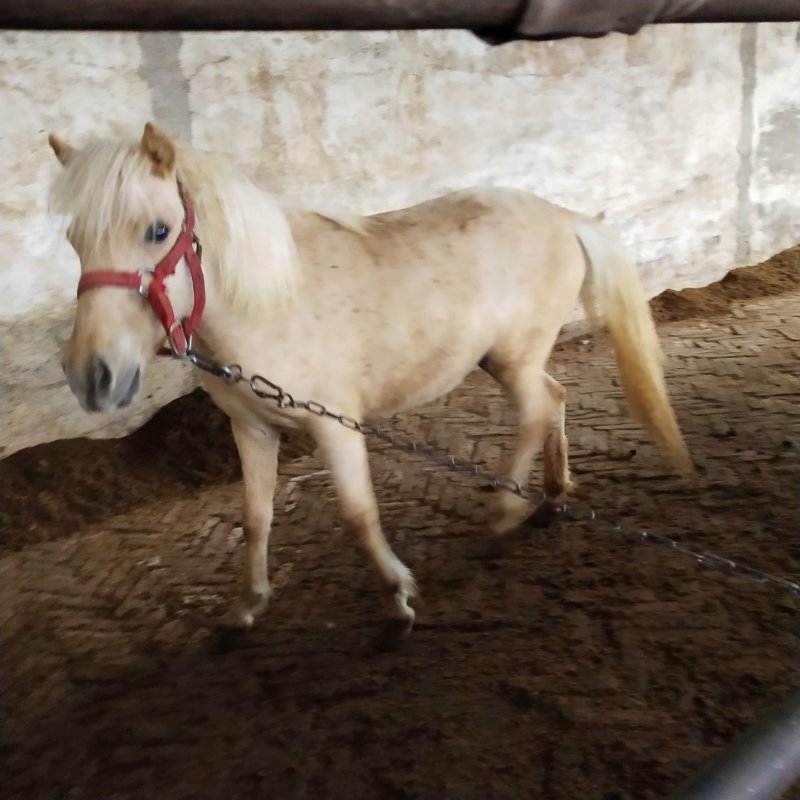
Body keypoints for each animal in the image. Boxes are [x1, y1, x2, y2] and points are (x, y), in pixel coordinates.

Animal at [48, 122, 692, 634]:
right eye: (74, 241)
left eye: (158, 231)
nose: (93, 376)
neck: (273, 304)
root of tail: (565, 217)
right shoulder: (251, 430)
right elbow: (255, 518)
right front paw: (245, 606)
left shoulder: (336, 426)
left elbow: (358, 515)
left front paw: (397, 599)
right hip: (510, 359)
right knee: (555, 398)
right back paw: (551, 498)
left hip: (513, 357)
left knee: (537, 410)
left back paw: (502, 516)